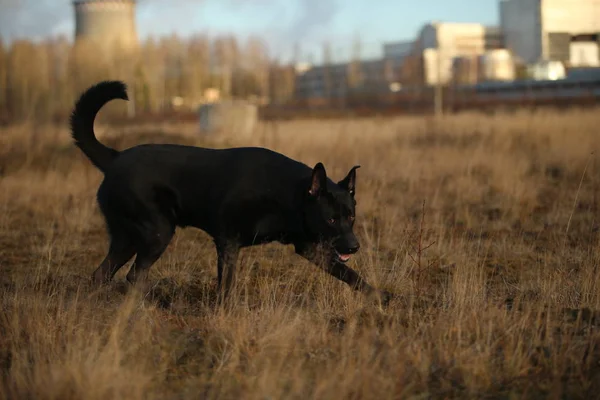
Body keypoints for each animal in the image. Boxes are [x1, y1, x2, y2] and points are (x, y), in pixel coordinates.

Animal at [70, 80, 392, 304]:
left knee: (101, 274)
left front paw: (381, 297)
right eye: (331, 219)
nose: (354, 247)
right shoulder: (228, 242)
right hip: (156, 233)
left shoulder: (310, 247)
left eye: (351, 217)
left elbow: (350, 275)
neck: (287, 194)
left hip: (127, 238)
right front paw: (223, 311)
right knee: (134, 275)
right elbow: (226, 285)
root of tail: (114, 158)